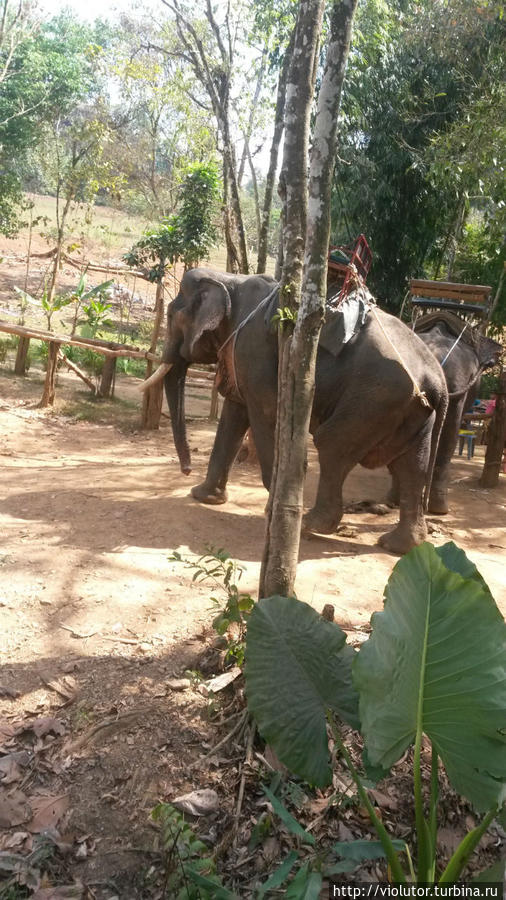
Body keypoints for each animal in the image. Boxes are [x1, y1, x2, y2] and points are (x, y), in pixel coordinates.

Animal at [144, 266, 448, 556]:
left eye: (170, 315)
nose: (186, 470)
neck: (230, 279)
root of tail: (438, 380)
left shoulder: (253, 350)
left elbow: (265, 414)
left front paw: (271, 511)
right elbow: (234, 413)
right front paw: (204, 497)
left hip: (375, 398)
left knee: (332, 443)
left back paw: (310, 525)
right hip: (411, 411)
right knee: (412, 465)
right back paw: (397, 545)